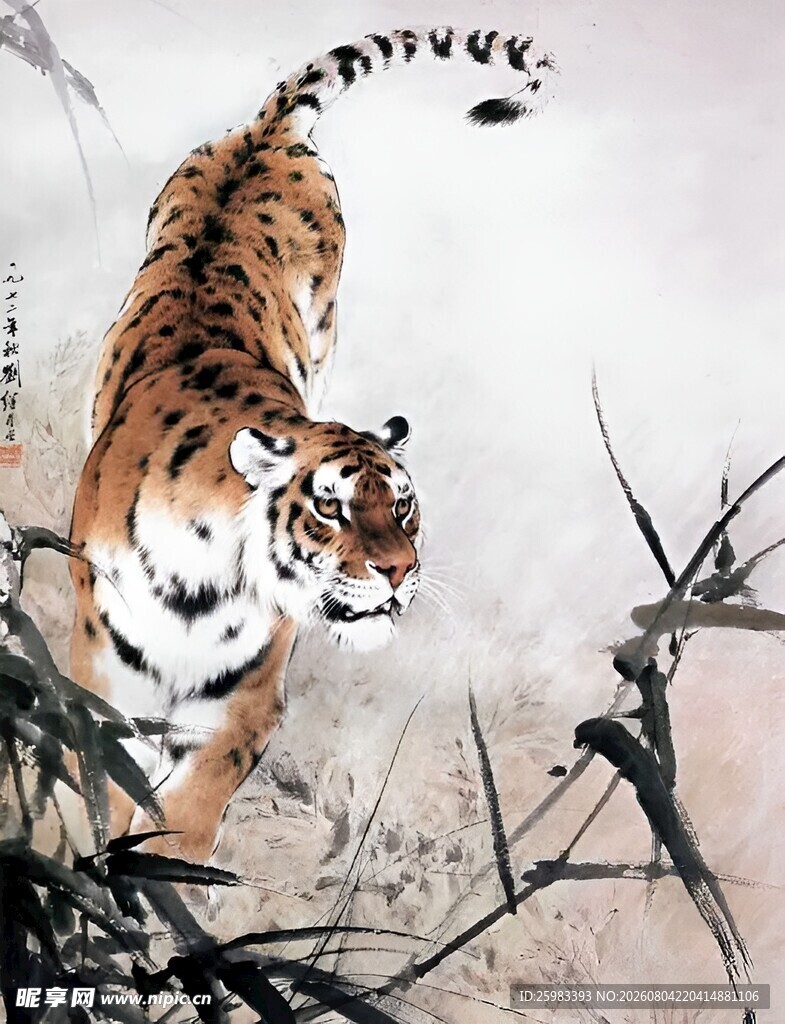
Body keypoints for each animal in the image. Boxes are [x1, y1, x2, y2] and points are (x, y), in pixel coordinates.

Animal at [69, 27, 556, 862]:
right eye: (330, 508)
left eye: (404, 508)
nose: (401, 572)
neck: (202, 585)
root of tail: (268, 131)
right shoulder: (102, 678)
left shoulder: (239, 703)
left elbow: (181, 820)